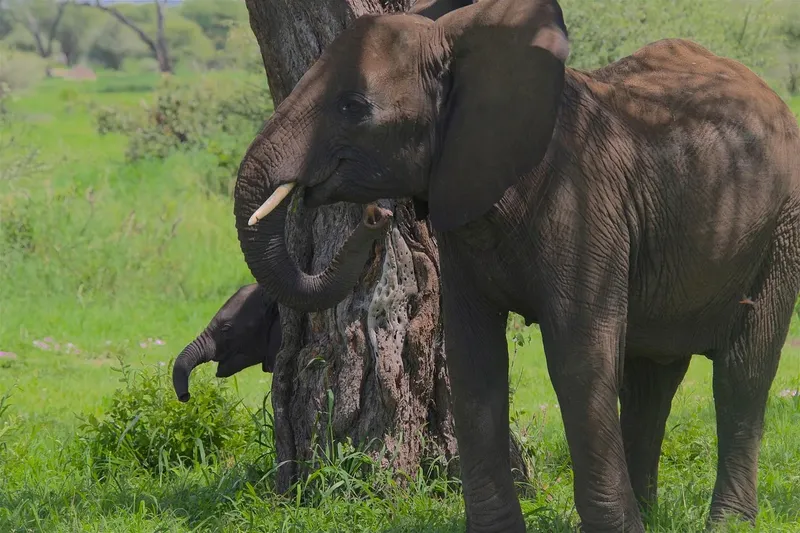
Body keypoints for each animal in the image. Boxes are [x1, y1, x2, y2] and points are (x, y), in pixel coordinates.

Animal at [231, 0, 800, 530]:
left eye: (353, 106)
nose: (378, 215)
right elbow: (474, 361)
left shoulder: (584, 209)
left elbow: (579, 359)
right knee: (651, 381)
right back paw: (650, 513)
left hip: (781, 230)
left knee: (742, 372)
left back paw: (727, 523)